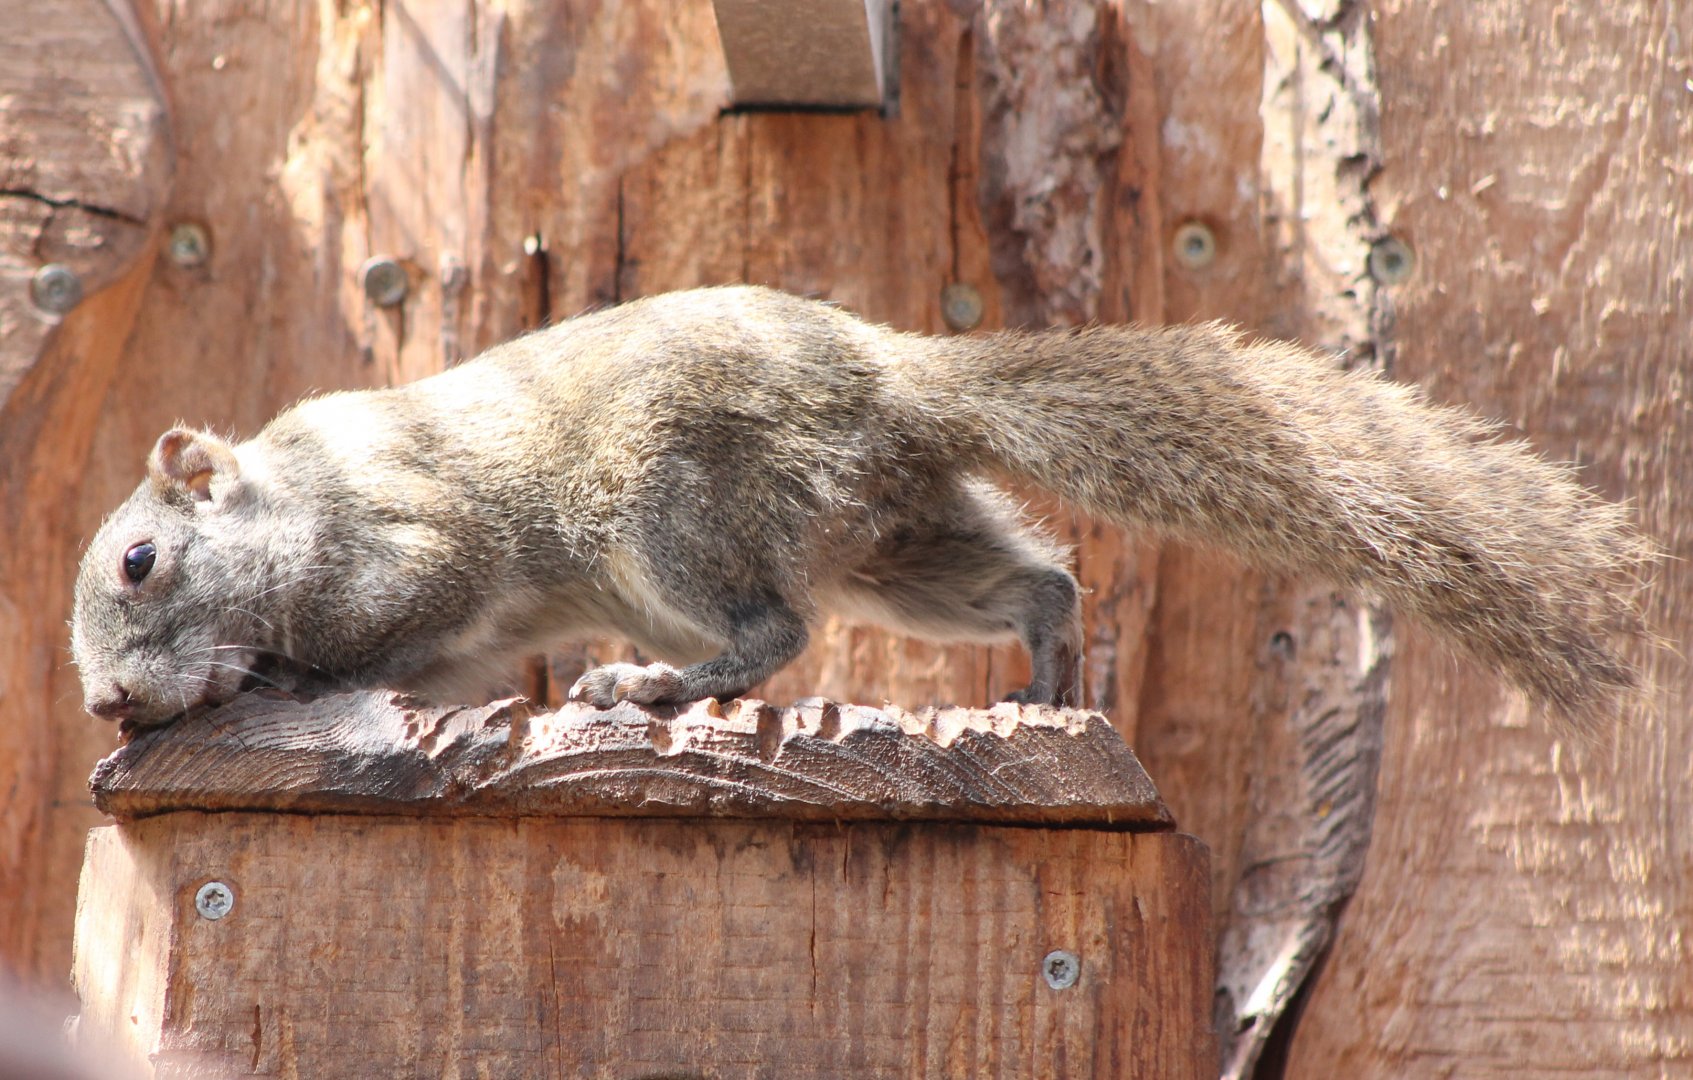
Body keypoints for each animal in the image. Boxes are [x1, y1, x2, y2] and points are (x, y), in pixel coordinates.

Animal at [71, 285, 1653, 734]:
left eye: (141, 560)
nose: (102, 707)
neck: (297, 493)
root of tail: (894, 379)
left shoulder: (414, 546)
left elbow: (381, 632)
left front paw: (269, 682)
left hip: (672, 516)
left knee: (771, 633)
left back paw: (660, 686)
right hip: (902, 550)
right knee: (1034, 582)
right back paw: (1050, 681)